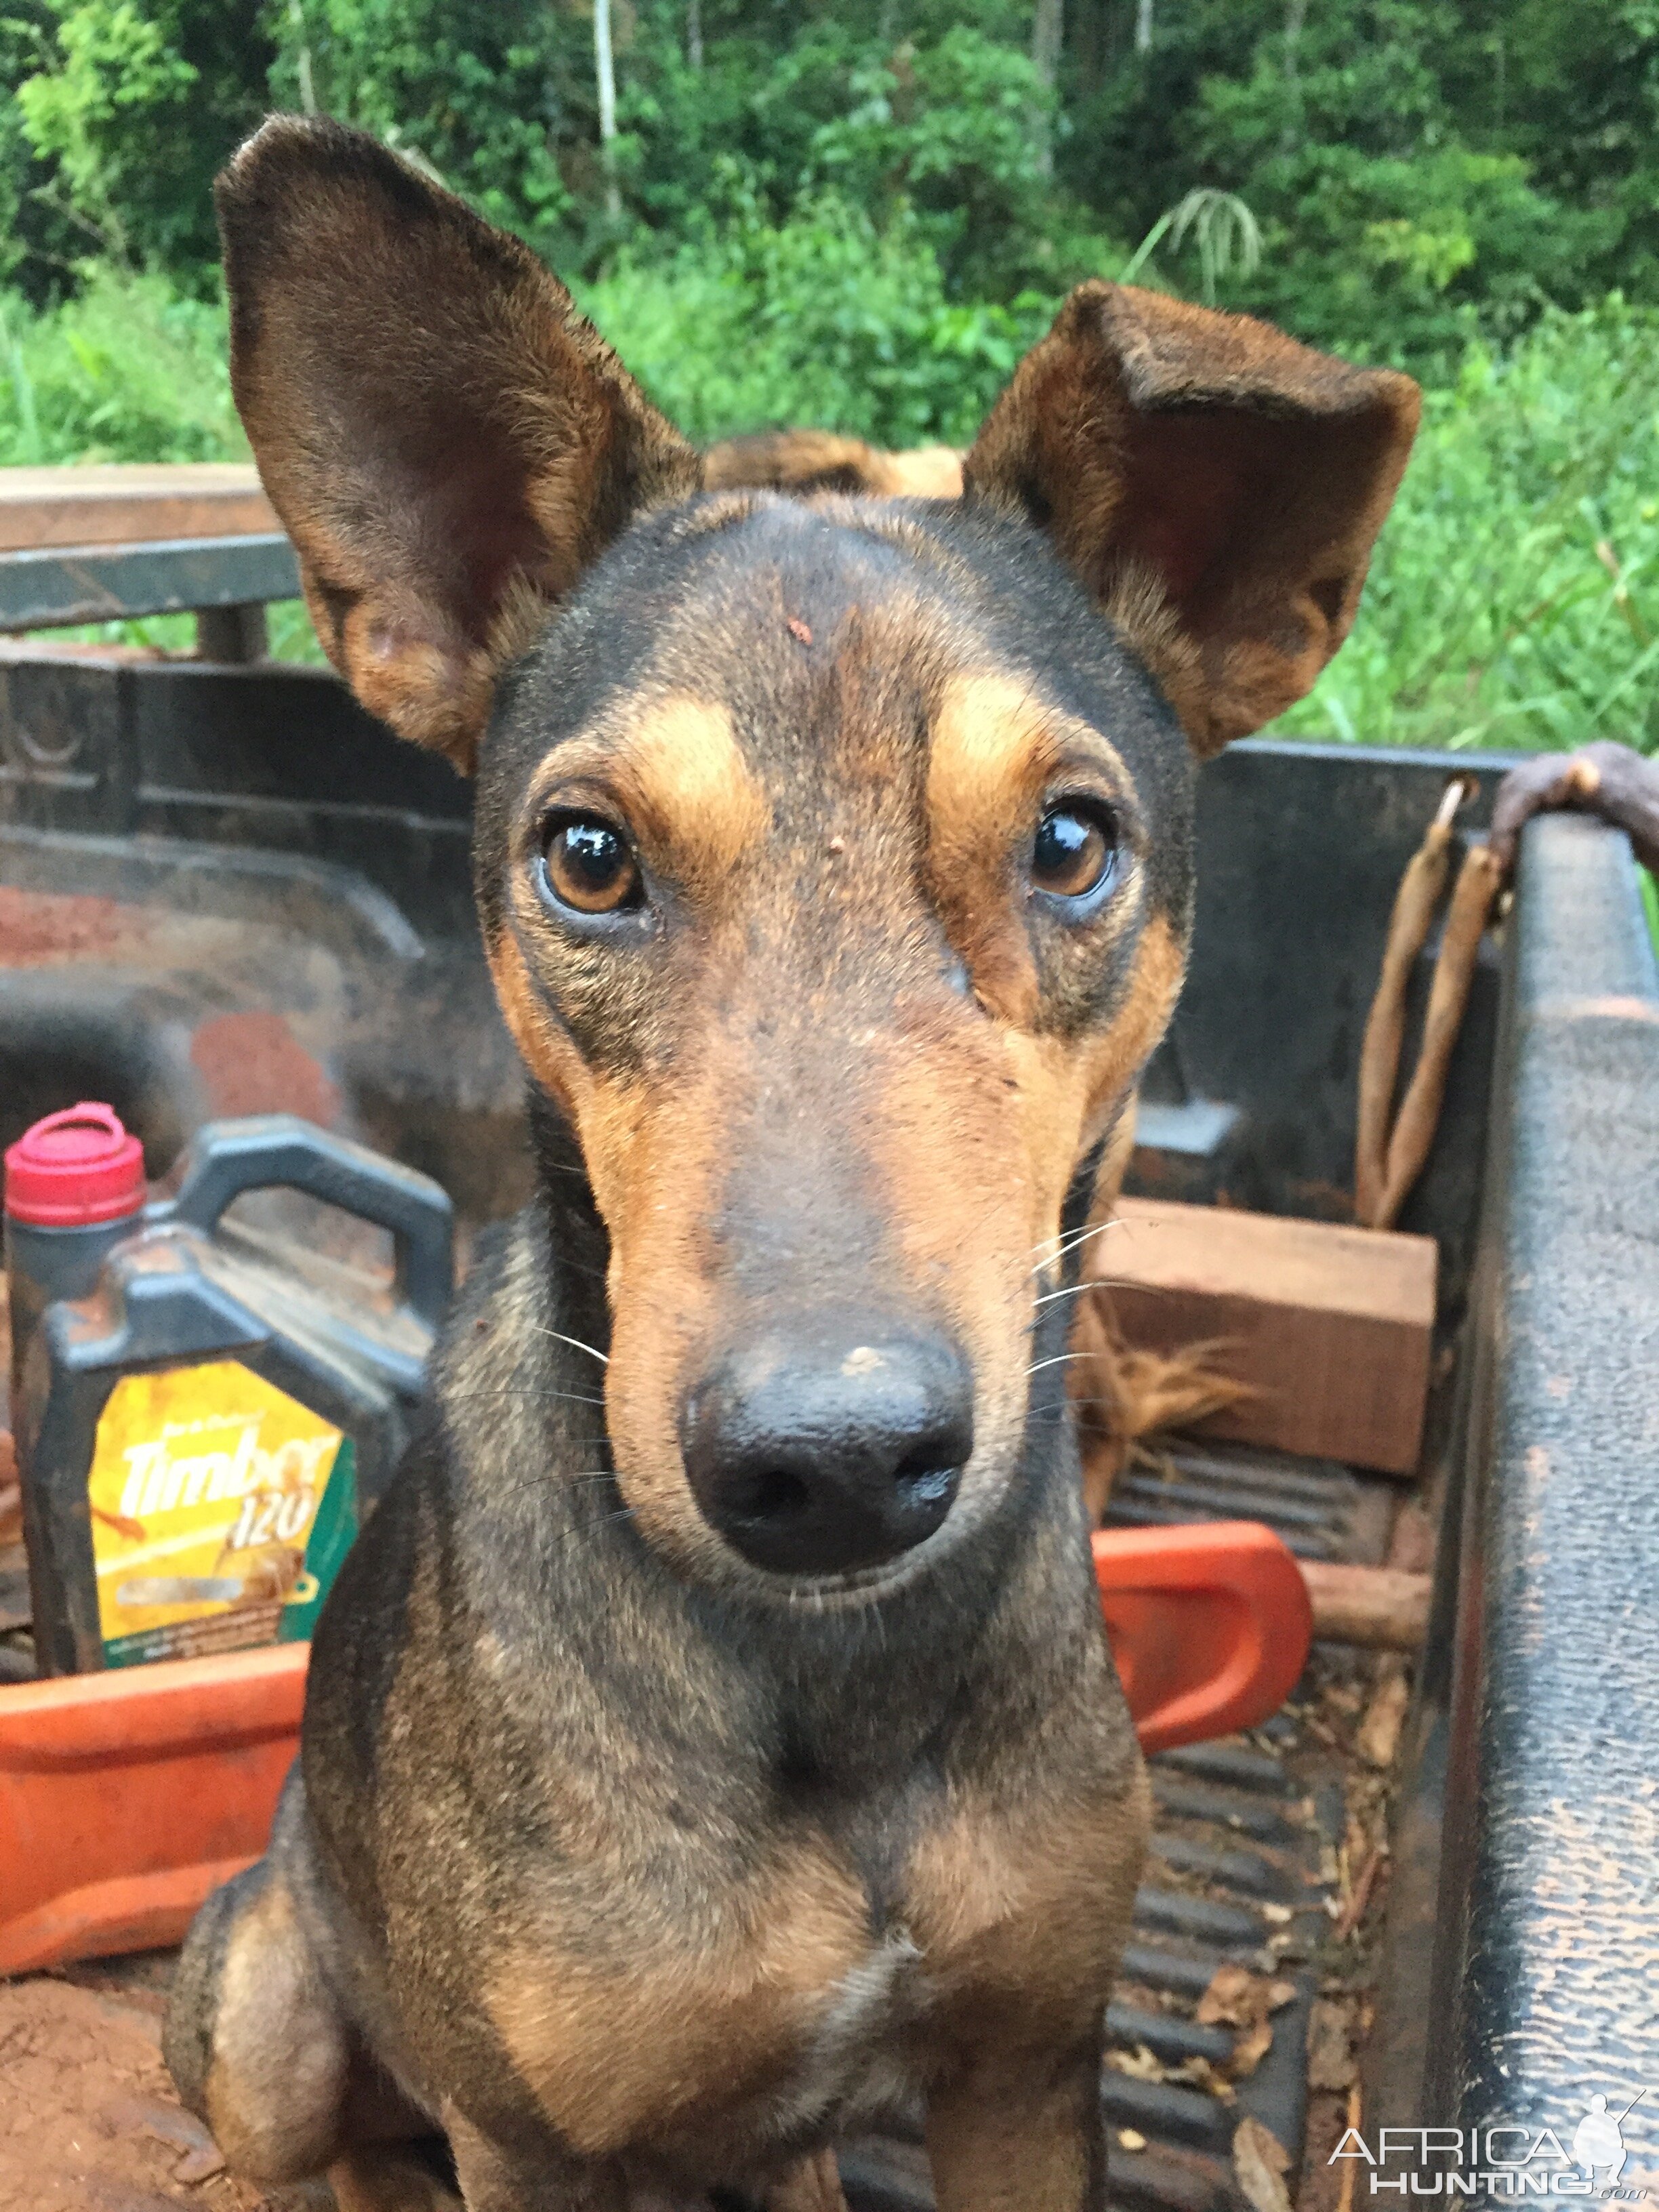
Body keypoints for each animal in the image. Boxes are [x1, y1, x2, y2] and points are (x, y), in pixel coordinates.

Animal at [162, 117, 1425, 2212]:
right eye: (587, 857)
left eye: (1070, 843)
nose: (828, 1469)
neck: (837, 1680)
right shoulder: (532, 2143)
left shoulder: (1025, 2064)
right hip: (268, 2004)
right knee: (316, 2146)